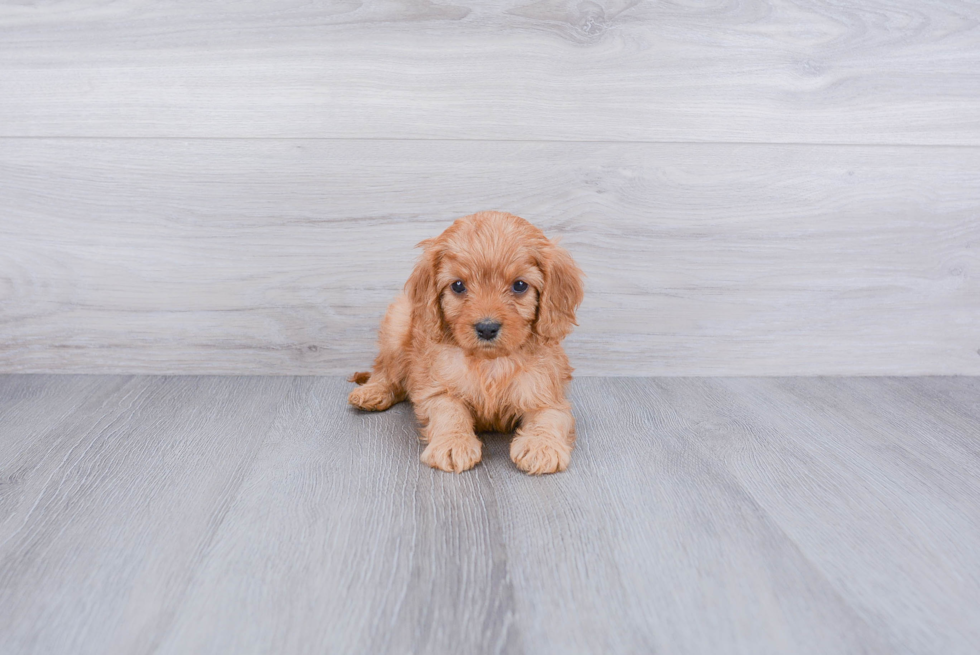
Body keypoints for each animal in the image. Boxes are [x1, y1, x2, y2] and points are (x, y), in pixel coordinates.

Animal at [350, 213, 584, 474]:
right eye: (458, 285)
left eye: (520, 285)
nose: (487, 328)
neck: (490, 363)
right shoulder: (438, 389)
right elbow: (449, 412)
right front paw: (453, 443)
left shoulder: (546, 393)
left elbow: (549, 417)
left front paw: (541, 446)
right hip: (397, 325)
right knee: (386, 370)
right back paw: (372, 391)